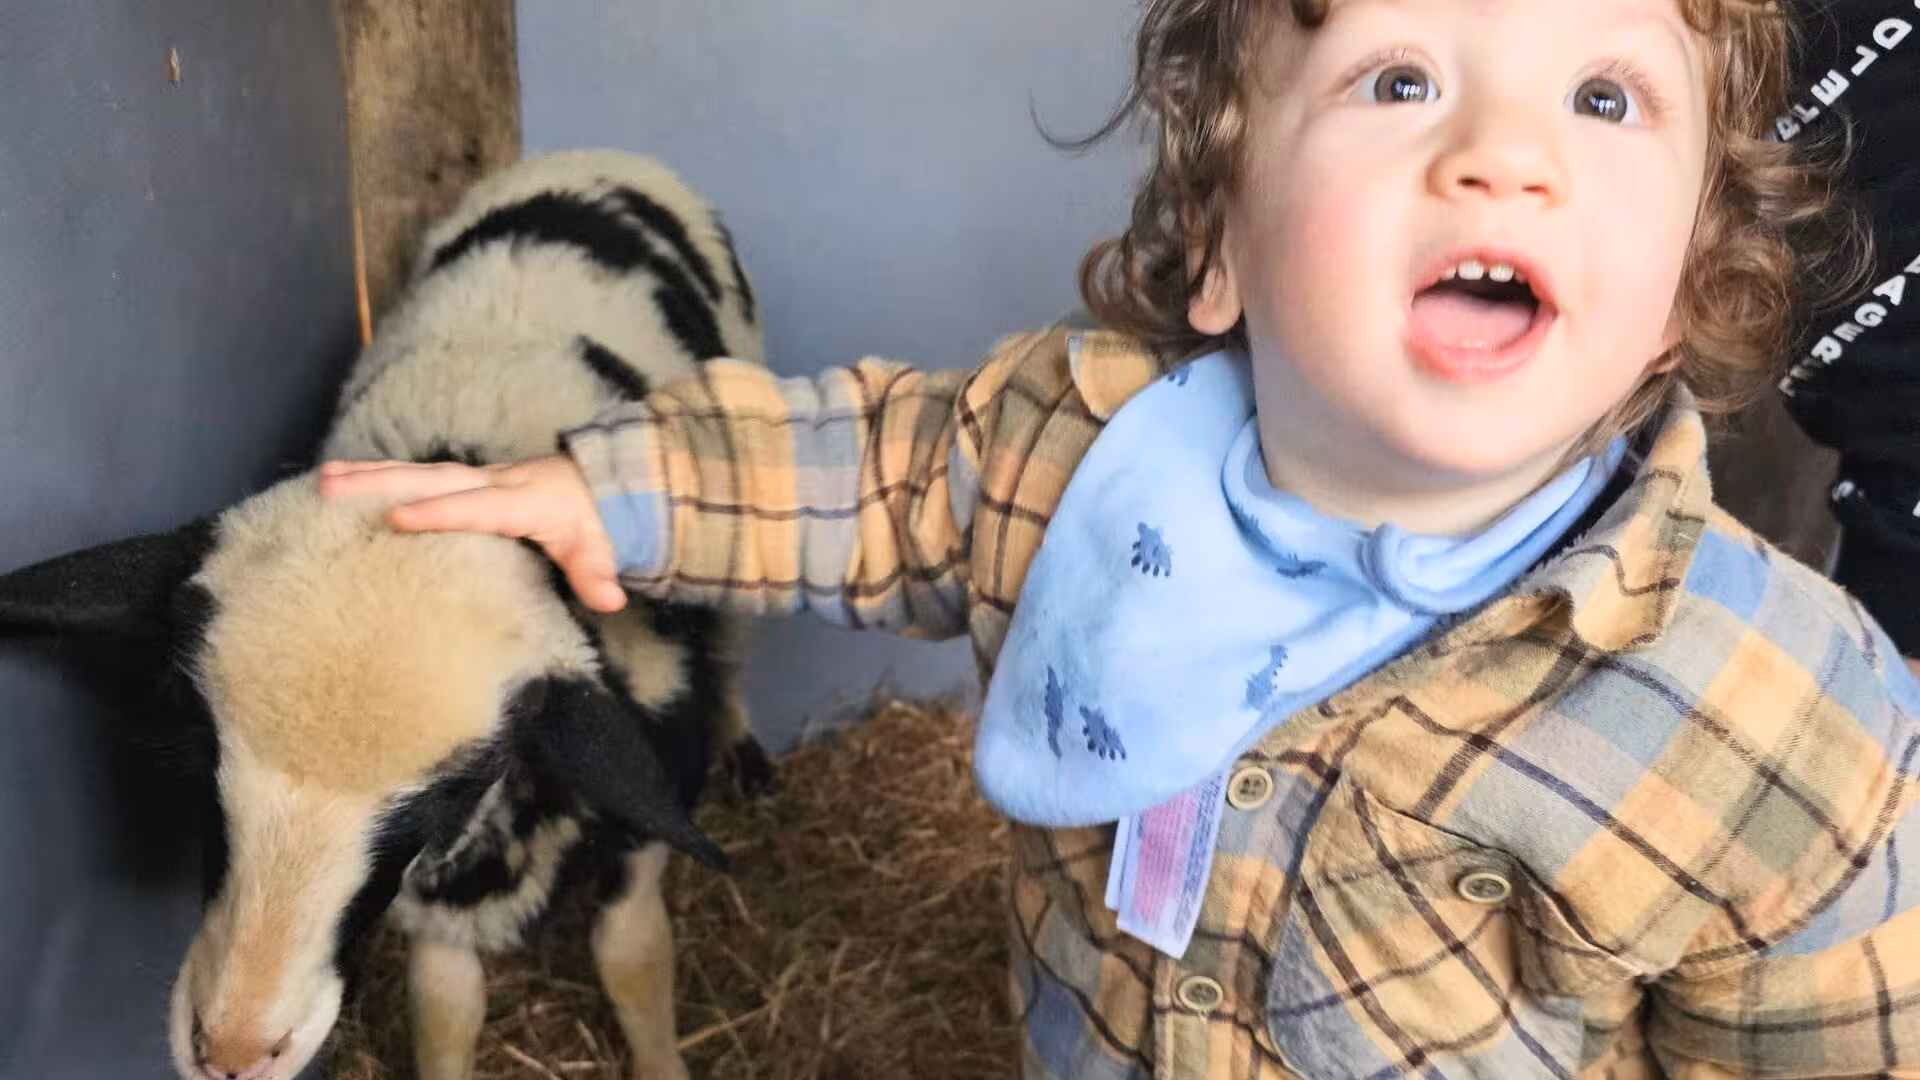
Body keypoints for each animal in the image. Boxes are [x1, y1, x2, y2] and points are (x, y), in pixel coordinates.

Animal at [0, 149, 774, 1080]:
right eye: (194, 743)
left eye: (456, 788)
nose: (233, 1049)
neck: (460, 466)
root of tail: (596, 159)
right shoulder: (430, 905)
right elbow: (445, 1010)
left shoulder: (639, 807)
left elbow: (634, 959)